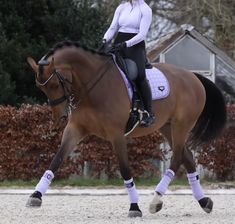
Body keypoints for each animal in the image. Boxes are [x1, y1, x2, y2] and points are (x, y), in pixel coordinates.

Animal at [26, 40, 227, 217]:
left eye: (54, 84)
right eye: (40, 87)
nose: (60, 116)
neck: (92, 86)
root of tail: (193, 76)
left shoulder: (116, 134)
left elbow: (124, 169)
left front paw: (134, 207)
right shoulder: (75, 128)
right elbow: (57, 159)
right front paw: (36, 196)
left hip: (181, 125)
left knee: (176, 159)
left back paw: (156, 200)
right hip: (167, 127)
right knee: (188, 157)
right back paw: (204, 201)